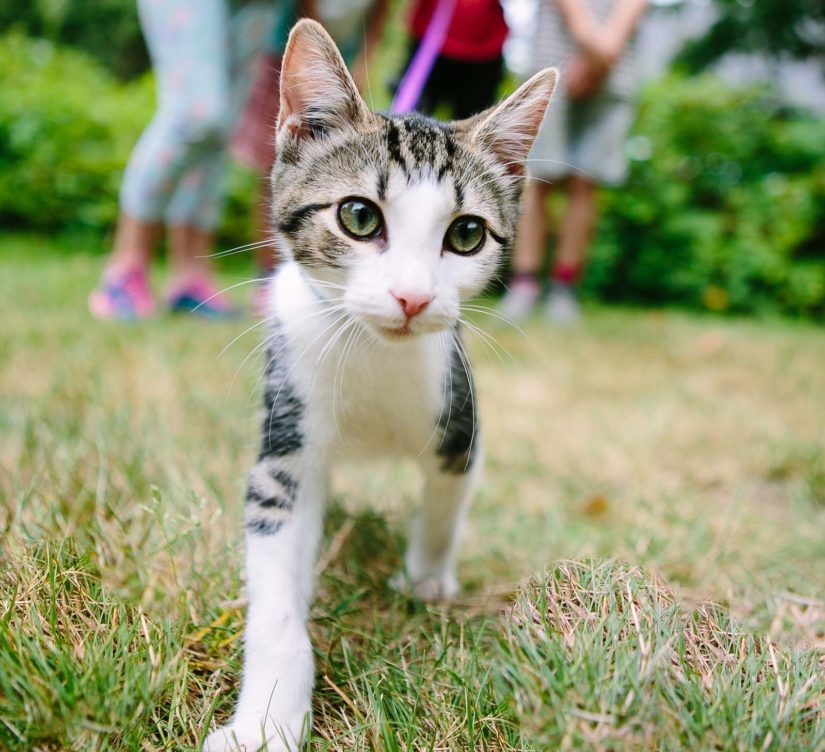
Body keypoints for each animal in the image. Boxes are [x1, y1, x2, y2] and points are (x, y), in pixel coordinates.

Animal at [203, 19, 556, 752]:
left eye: (467, 233)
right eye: (359, 218)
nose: (413, 297)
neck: (368, 352)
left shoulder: (459, 417)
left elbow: (446, 505)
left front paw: (426, 579)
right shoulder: (283, 453)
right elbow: (275, 593)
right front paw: (265, 720)